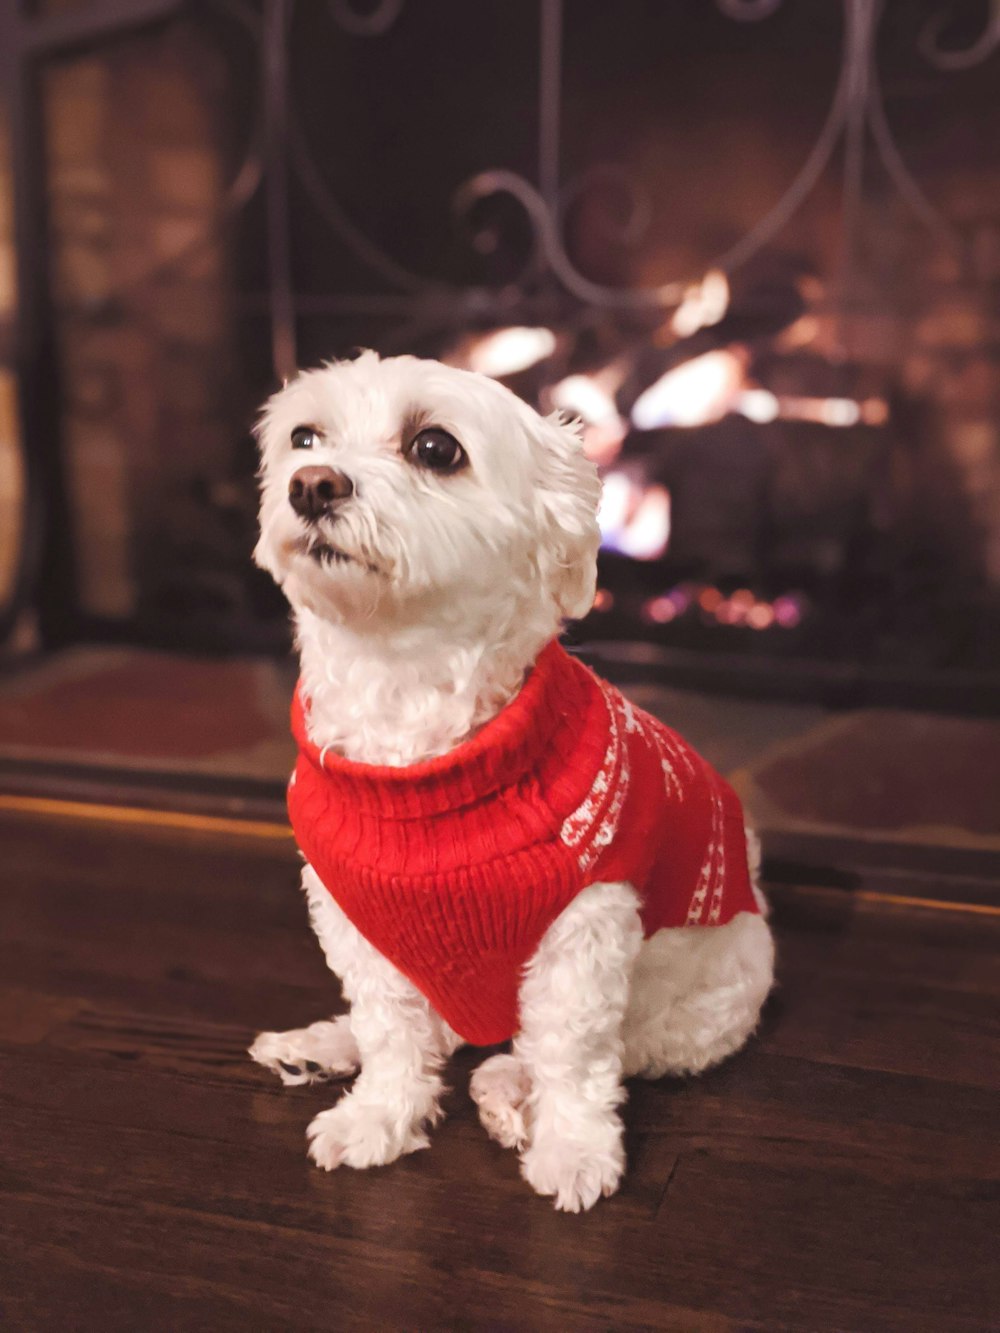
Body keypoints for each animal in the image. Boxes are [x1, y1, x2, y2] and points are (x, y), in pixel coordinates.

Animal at [249, 351, 773, 1210]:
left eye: (435, 448)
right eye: (304, 436)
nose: (312, 485)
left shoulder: (585, 930)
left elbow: (571, 1053)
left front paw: (574, 1149)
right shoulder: (352, 914)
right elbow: (391, 1029)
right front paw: (378, 1116)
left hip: (693, 1015)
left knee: (557, 1048)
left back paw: (504, 1088)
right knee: (437, 1028)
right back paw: (321, 1045)